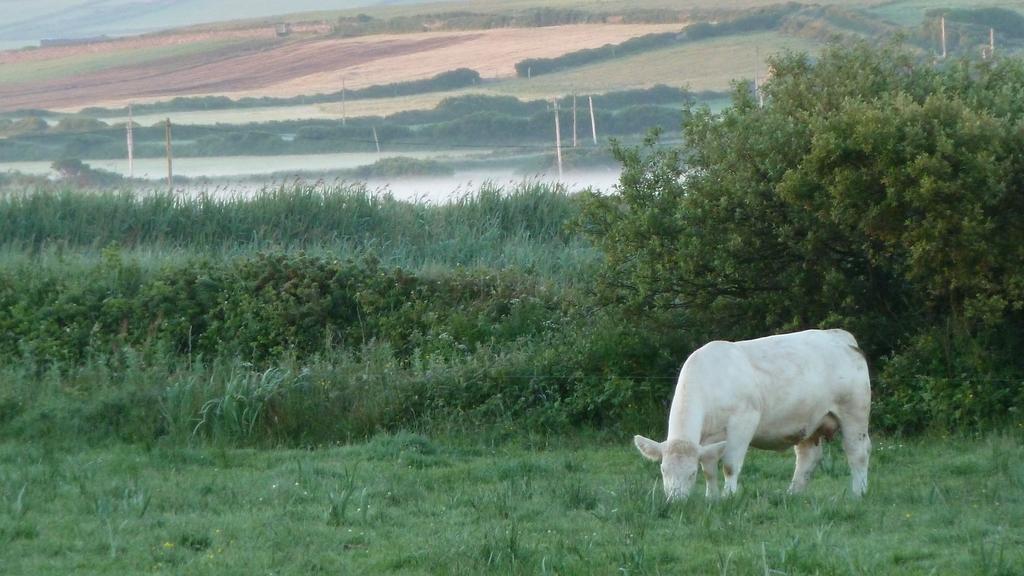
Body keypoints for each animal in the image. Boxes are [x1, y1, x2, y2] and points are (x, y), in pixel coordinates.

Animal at [634, 327, 868, 498]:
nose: (675, 500)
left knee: (858, 452)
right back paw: (793, 494)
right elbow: (709, 467)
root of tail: (839, 335)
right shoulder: (709, 438)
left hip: (855, 412)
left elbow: (729, 465)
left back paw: (858, 493)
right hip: (809, 421)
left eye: (691, 474)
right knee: (808, 457)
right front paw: (711, 497)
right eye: (663, 470)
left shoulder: (743, 422)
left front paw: (728, 496)